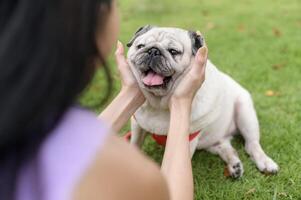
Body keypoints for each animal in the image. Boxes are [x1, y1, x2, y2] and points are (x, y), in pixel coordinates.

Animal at [126, 25, 276, 178]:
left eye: (173, 51)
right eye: (140, 46)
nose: (153, 51)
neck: (159, 105)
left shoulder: (187, 141)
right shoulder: (137, 126)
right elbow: (135, 144)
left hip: (245, 113)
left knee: (252, 144)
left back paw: (265, 162)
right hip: (214, 142)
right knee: (226, 147)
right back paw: (235, 166)